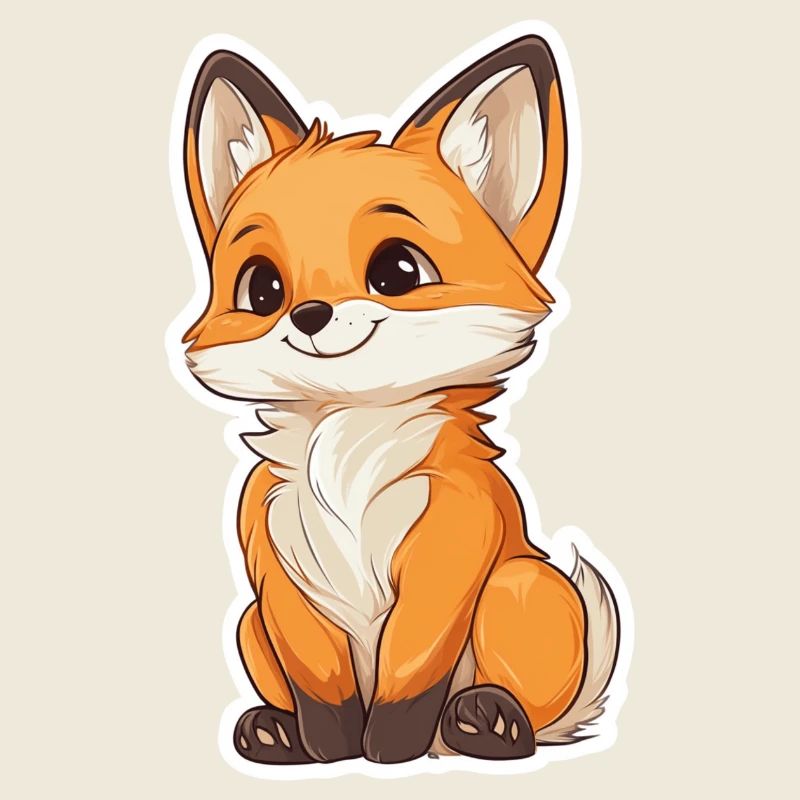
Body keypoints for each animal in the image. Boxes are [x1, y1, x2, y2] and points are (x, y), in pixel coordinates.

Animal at [175, 33, 621, 766]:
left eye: (397, 271)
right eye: (262, 288)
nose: (310, 314)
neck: (345, 452)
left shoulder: (447, 552)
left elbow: (409, 673)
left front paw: (387, 749)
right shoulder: (279, 575)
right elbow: (320, 686)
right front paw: (328, 748)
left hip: (521, 586)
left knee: (525, 708)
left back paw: (486, 723)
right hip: (248, 622)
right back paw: (275, 730)